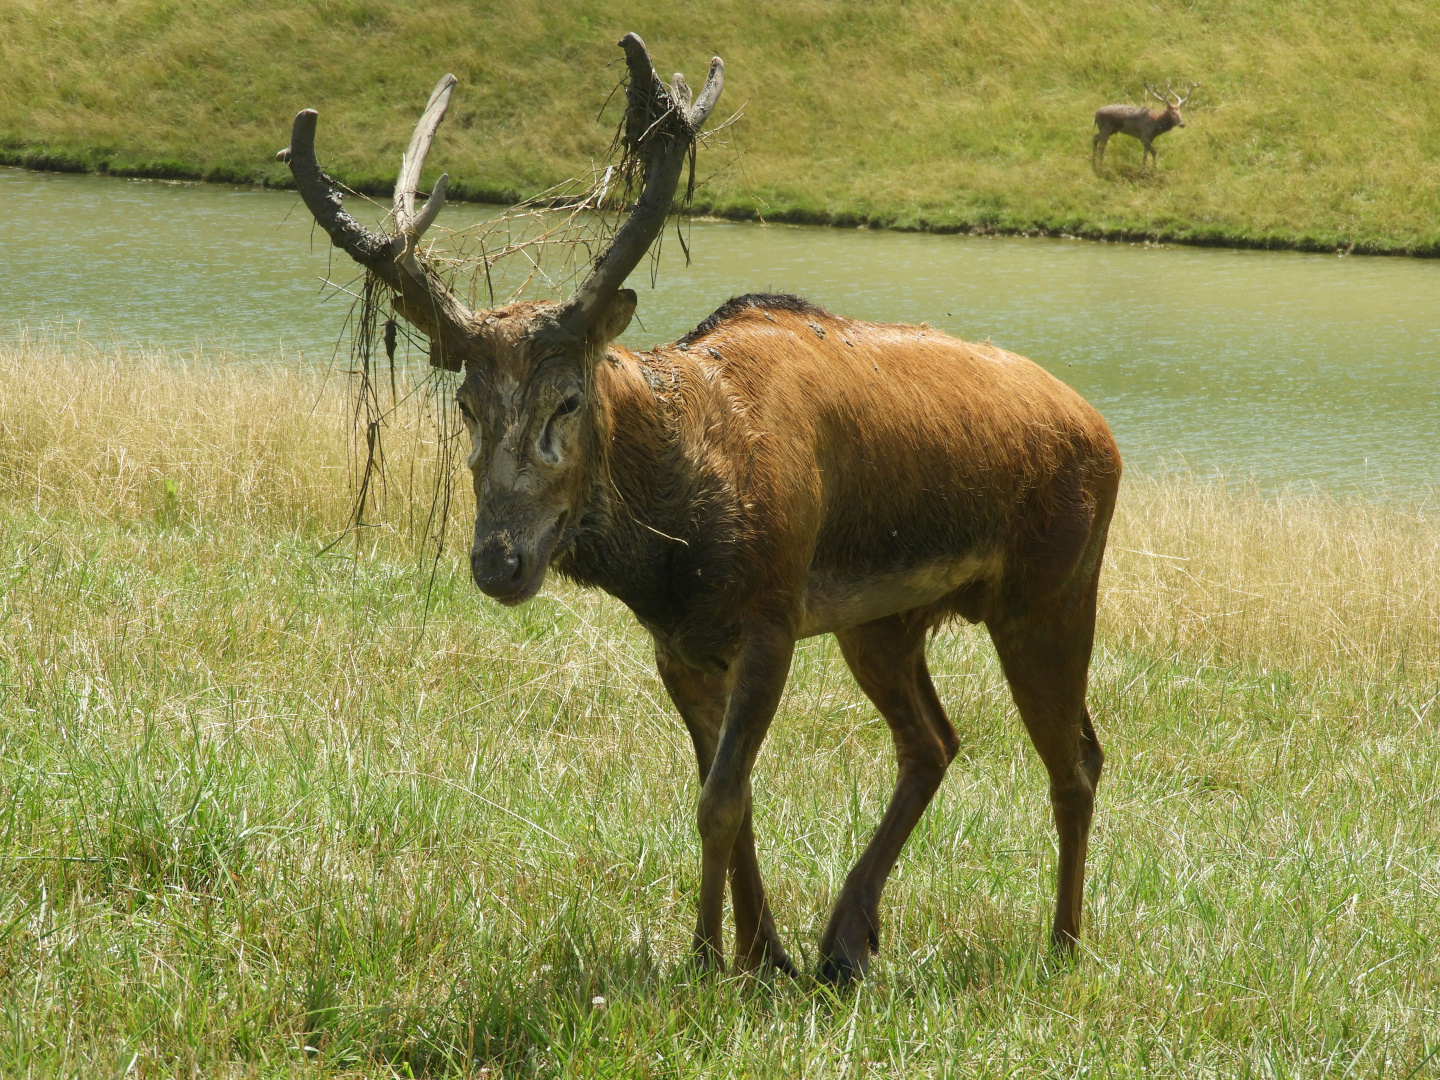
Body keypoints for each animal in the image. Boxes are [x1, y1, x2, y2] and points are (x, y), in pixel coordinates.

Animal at [279, 33, 1121, 984]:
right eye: (466, 405)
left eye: (567, 400)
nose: (499, 560)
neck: (678, 541)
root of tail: (1107, 432)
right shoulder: (677, 644)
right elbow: (733, 792)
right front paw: (764, 952)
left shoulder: (771, 613)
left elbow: (719, 796)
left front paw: (708, 955)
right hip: (886, 621)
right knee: (934, 742)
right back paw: (847, 938)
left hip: (1052, 587)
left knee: (1076, 758)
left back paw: (1062, 944)